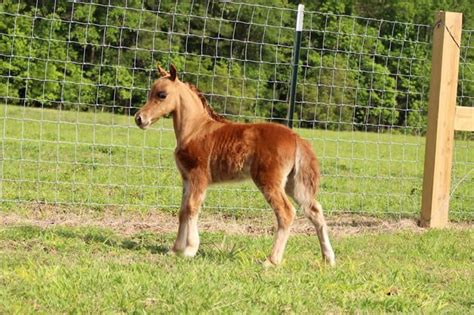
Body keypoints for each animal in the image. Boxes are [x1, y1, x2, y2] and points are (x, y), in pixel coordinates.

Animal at [133, 65, 336, 268]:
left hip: (269, 181)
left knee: (286, 212)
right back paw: (328, 258)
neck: (194, 129)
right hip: (293, 183)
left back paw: (271, 261)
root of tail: (296, 137)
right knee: (314, 210)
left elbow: (192, 207)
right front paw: (175, 250)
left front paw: (190, 249)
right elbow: (182, 211)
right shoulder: (186, 178)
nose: (139, 119)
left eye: (162, 95)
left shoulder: (199, 176)